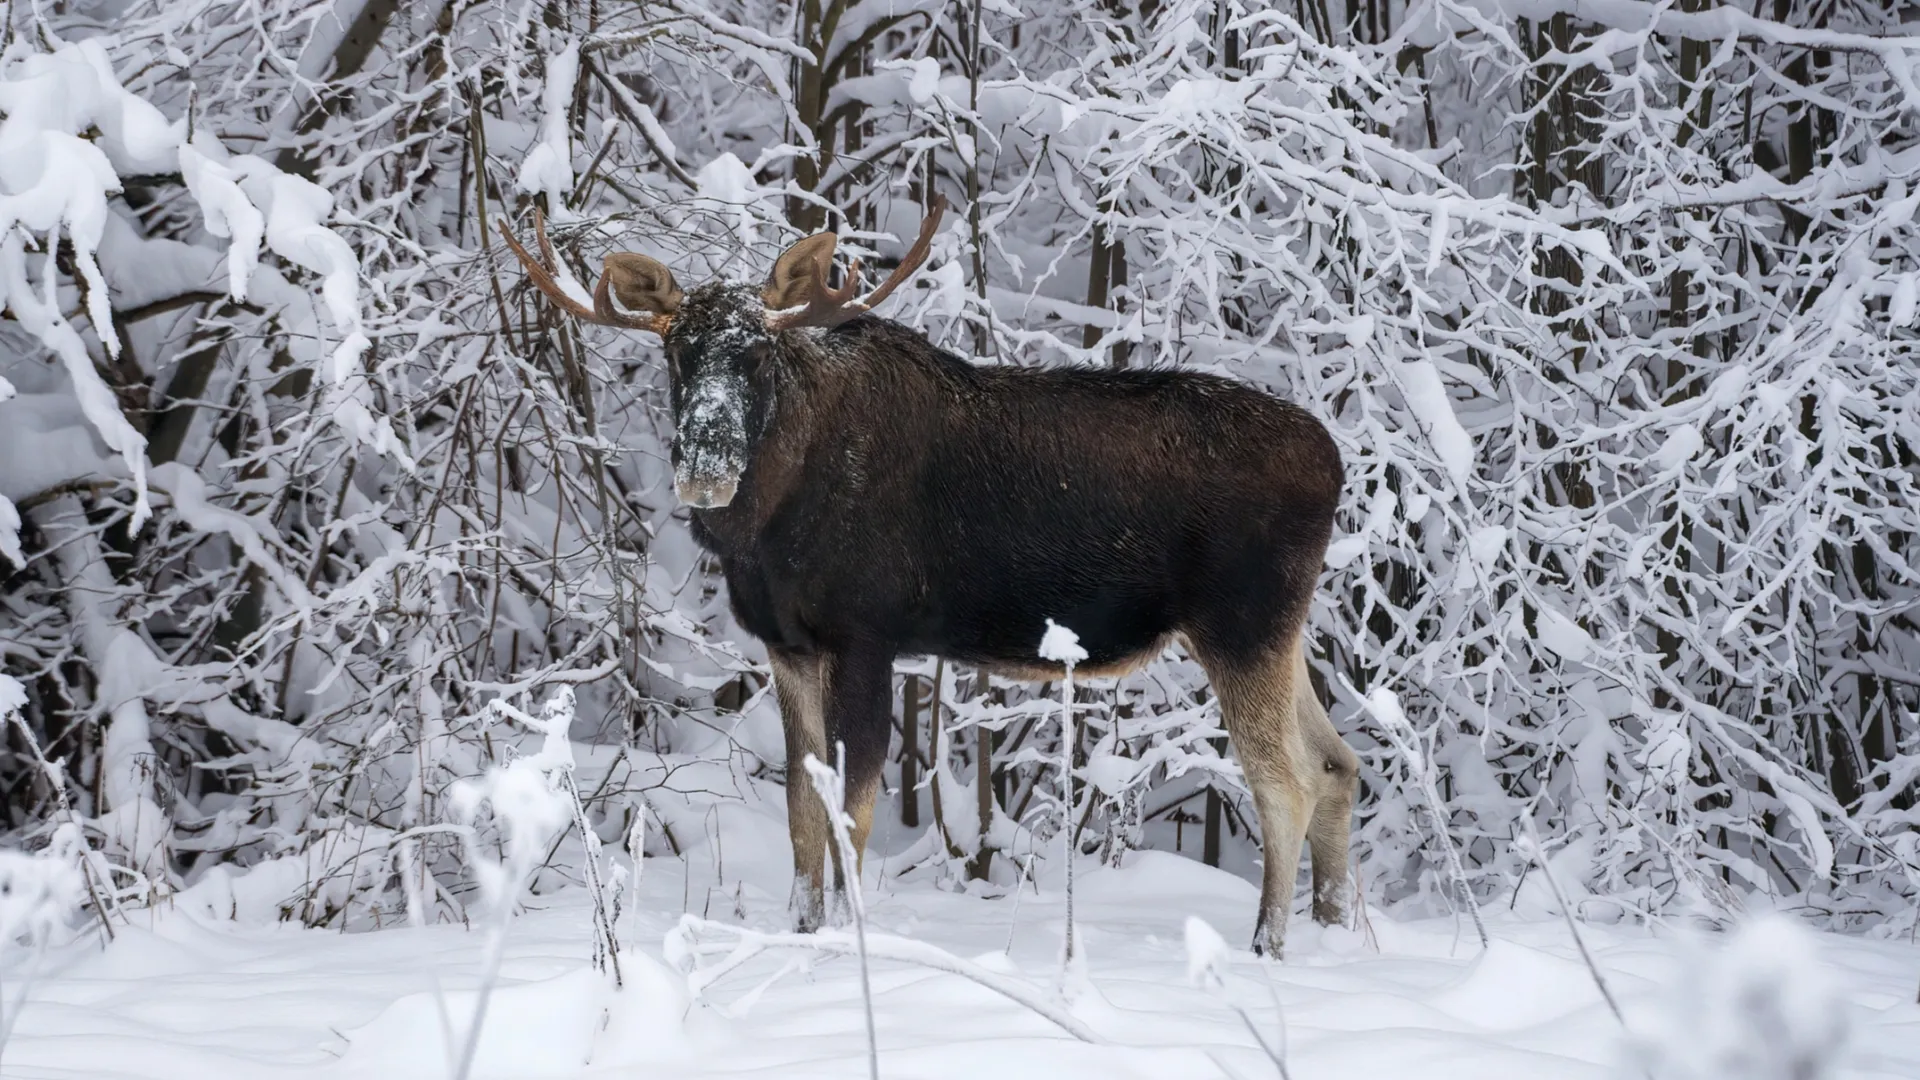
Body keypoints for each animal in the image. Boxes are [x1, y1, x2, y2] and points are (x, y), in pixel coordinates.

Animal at [503, 199, 1359, 949]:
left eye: (758, 354)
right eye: (678, 351)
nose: (706, 468)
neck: (766, 526)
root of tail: (1336, 462)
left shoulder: (866, 634)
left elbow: (853, 813)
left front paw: (844, 943)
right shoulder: (787, 645)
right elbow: (802, 813)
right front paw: (802, 930)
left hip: (1240, 623)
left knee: (1285, 783)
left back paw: (1268, 945)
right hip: (1281, 632)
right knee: (1337, 762)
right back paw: (1330, 927)